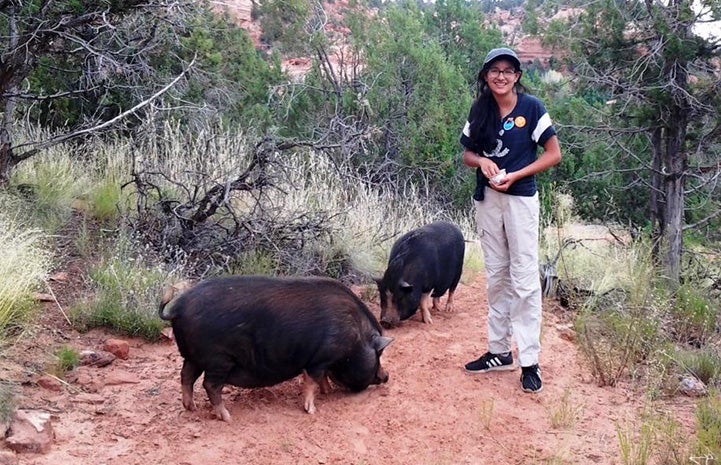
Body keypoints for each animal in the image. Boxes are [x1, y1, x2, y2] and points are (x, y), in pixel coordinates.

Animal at [158, 274, 394, 422]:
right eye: (379, 353)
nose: (386, 376)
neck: (356, 337)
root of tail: (176, 309)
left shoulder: (321, 361)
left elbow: (321, 379)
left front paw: (327, 392)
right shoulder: (320, 358)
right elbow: (311, 381)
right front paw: (311, 411)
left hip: (193, 357)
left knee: (186, 376)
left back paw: (191, 407)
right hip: (218, 359)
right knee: (209, 384)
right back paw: (227, 417)